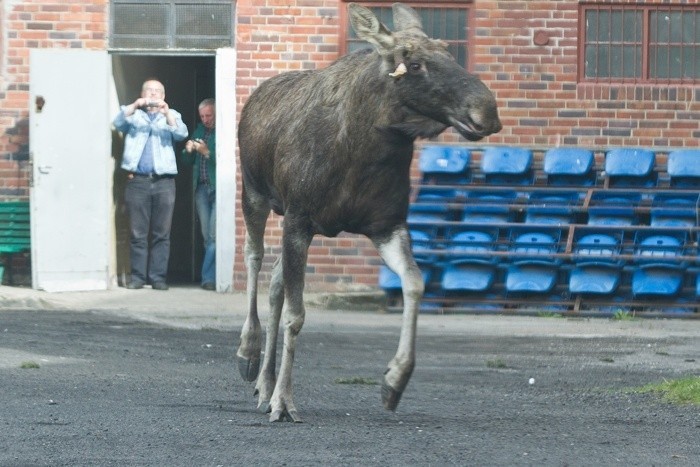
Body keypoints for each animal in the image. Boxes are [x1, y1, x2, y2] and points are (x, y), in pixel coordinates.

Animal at [238, 0, 500, 424]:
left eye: (449, 49)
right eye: (413, 64)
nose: (486, 111)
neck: (369, 149)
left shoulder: (386, 225)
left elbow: (415, 283)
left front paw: (394, 380)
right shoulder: (299, 218)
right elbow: (297, 314)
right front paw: (285, 401)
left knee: (275, 282)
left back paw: (265, 381)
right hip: (256, 194)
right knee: (254, 257)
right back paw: (248, 354)